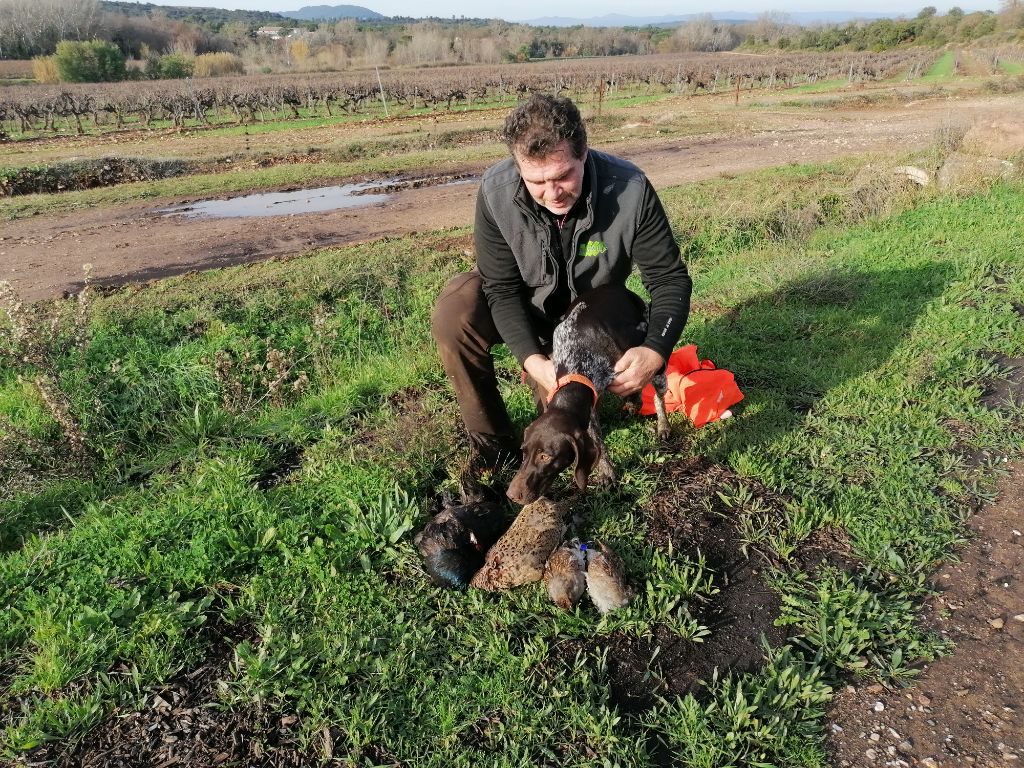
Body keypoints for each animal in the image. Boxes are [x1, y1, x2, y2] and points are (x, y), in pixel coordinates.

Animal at [505, 286, 667, 507]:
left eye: (546, 457)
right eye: (524, 452)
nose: (511, 495)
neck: (578, 358)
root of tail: (620, 288)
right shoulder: (589, 407)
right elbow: (598, 441)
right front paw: (606, 471)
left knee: (658, 392)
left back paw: (663, 424)